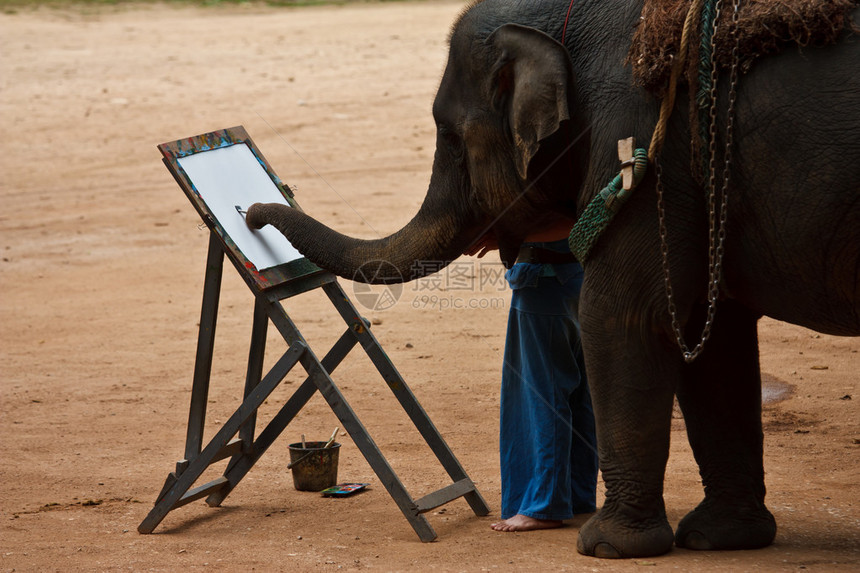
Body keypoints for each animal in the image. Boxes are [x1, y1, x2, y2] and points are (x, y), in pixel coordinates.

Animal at [245, 0, 856, 560]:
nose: (252, 213)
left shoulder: (640, 150)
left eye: (452, 136)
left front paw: (608, 547)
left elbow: (623, 316)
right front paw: (719, 538)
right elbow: (714, 336)